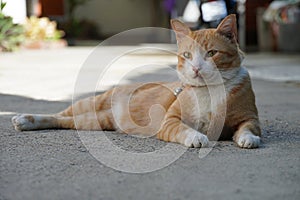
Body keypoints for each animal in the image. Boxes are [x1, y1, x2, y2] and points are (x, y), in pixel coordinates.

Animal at [11, 14, 260, 148]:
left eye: (212, 53)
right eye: (187, 55)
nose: (196, 68)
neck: (208, 91)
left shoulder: (250, 118)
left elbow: (247, 129)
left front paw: (249, 139)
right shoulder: (169, 121)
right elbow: (184, 129)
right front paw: (197, 137)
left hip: (94, 121)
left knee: (65, 121)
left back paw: (27, 122)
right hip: (93, 102)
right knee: (60, 113)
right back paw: (24, 118)